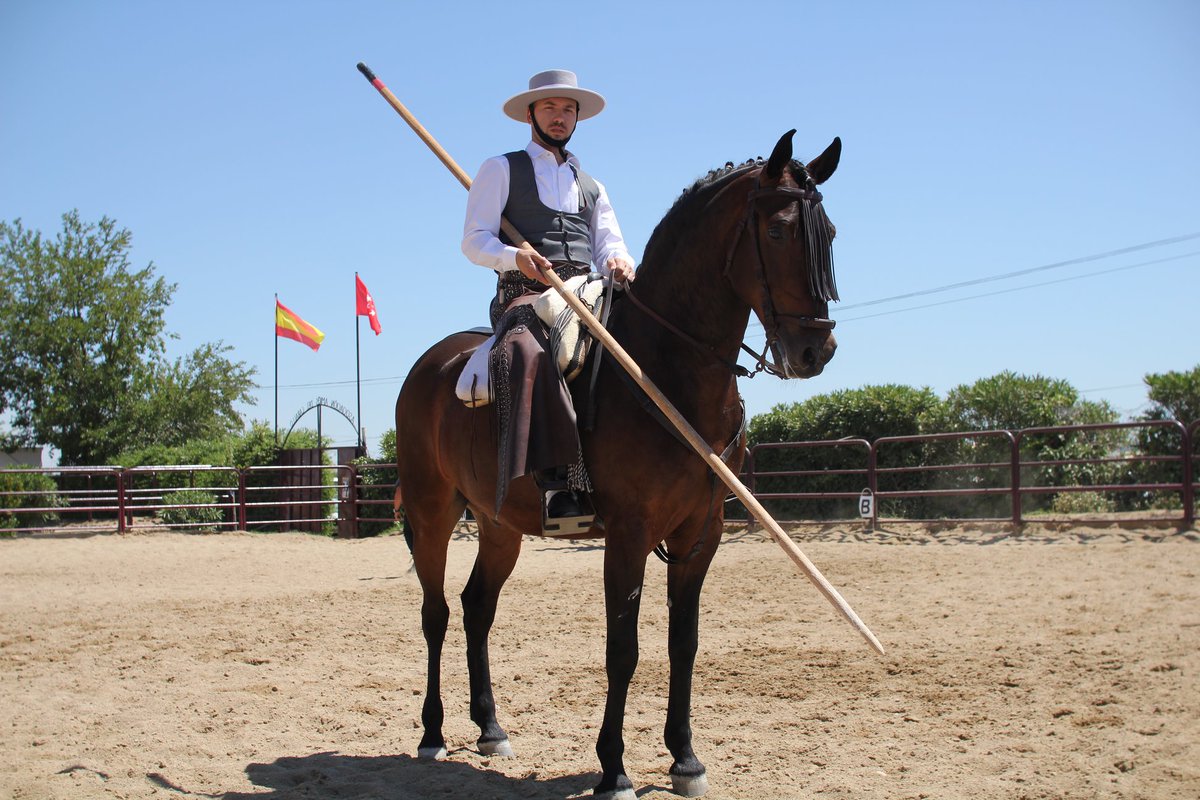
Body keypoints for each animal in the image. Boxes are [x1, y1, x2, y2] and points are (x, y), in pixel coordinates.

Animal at [394, 129, 841, 799]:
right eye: (780, 231)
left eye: (829, 233)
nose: (816, 349)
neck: (666, 370)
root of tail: (431, 365)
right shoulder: (629, 533)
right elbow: (622, 649)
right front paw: (614, 769)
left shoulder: (700, 533)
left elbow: (684, 643)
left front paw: (685, 759)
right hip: (431, 512)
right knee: (437, 612)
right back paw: (431, 733)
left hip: (499, 526)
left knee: (477, 608)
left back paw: (491, 728)